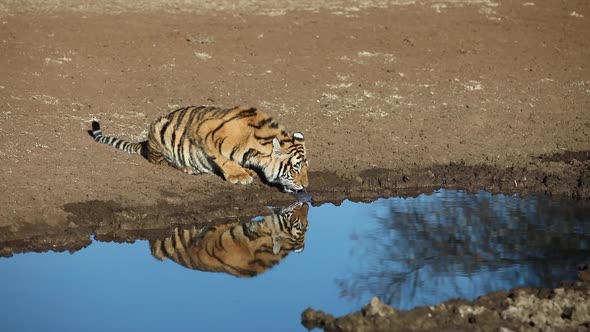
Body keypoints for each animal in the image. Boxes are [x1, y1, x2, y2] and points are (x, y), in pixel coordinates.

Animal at [89, 105, 310, 191]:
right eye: (295, 169)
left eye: (306, 168)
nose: (306, 186)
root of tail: (146, 142)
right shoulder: (205, 132)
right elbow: (223, 159)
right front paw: (239, 176)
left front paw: (247, 170)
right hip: (161, 130)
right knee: (161, 161)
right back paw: (188, 168)